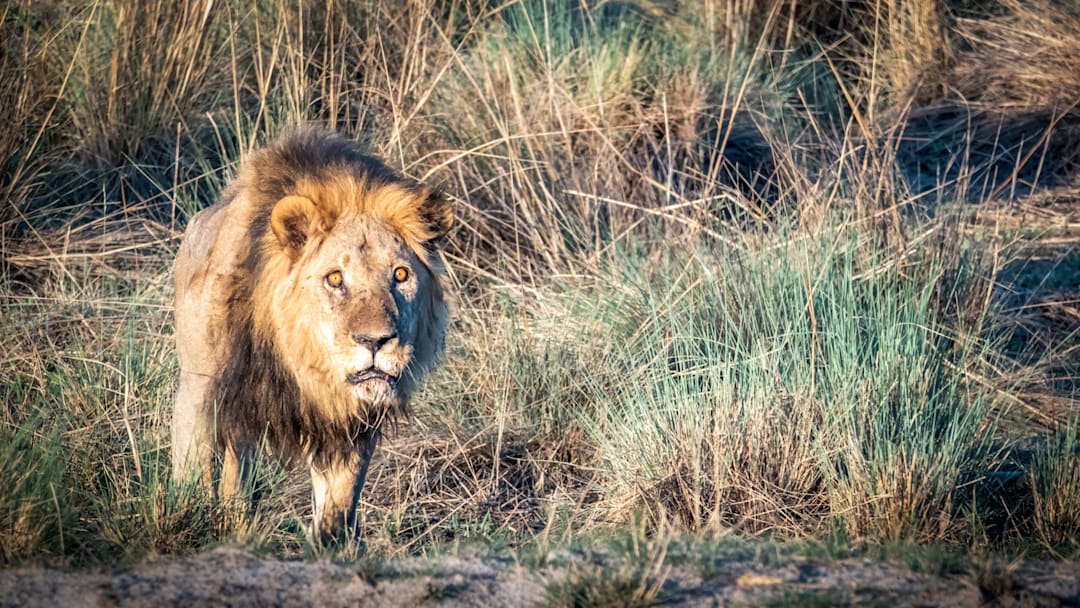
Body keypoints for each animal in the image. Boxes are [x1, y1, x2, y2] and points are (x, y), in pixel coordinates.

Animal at [171, 127, 451, 543]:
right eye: (335, 279)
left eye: (401, 275)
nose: (375, 342)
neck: (298, 360)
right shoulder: (209, 395)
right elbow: (207, 478)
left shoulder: (349, 421)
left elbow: (338, 503)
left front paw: (334, 545)